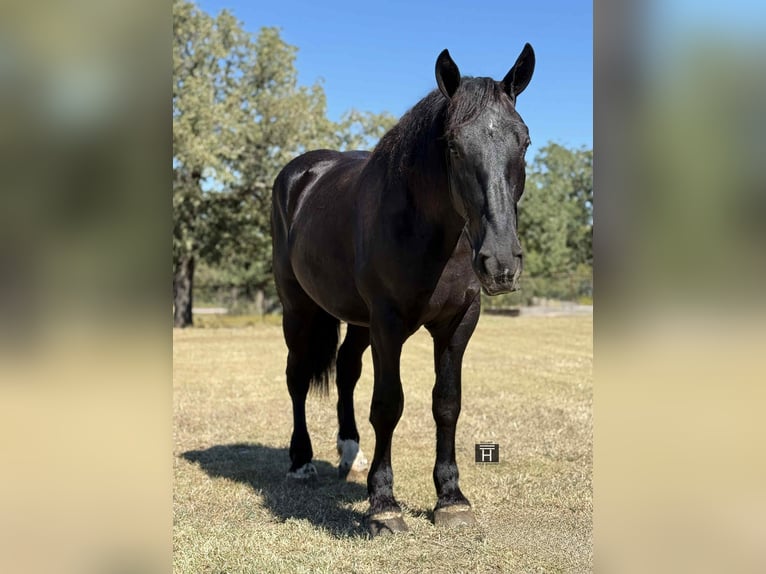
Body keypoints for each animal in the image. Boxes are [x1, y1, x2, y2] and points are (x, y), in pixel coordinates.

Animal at [271, 44, 535, 536]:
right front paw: (383, 504)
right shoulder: (389, 324)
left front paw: (451, 498)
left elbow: (447, 403)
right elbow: (388, 405)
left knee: (346, 371)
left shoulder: (457, 323)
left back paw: (350, 455)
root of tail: (302, 172)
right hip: (298, 308)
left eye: (523, 141)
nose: (500, 264)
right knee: (297, 376)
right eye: (452, 144)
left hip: (357, 320)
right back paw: (301, 463)